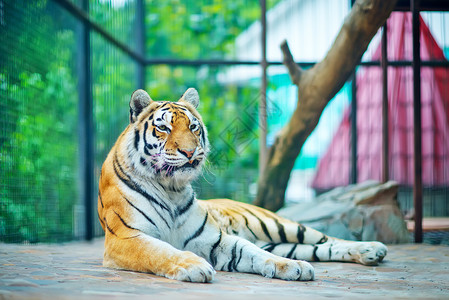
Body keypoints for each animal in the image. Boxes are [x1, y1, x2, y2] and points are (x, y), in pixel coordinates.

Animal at [97, 88, 384, 282]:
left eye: (193, 127)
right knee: (317, 248)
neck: (171, 189)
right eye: (164, 129)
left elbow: (252, 251)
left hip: (277, 225)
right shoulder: (126, 237)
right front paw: (194, 266)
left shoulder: (214, 239)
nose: (190, 152)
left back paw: (372, 248)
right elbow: (160, 251)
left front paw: (291, 266)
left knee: (328, 239)